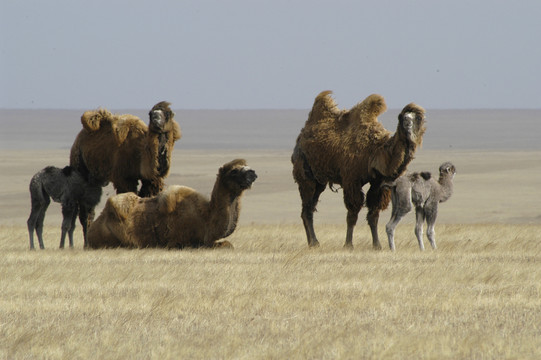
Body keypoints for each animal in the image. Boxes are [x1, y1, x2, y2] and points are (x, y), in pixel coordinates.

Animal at [86, 159, 258, 249]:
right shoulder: (184, 242)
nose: (252, 172)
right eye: (234, 171)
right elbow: (226, 244)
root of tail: (92, 228)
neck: (205, 218)